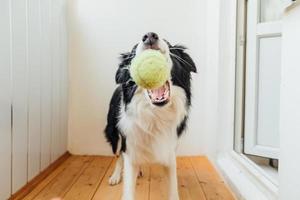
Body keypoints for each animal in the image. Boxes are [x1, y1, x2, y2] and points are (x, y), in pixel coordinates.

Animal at [104, 32, 196, 199]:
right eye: (134, 49)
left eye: (168, 43)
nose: (149, 35)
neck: (155, 115)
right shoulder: (129, 147)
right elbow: (128, 185)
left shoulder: (169, 151)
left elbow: (173, 188)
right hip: (113, 134)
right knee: (118, 155)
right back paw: (115, 176)